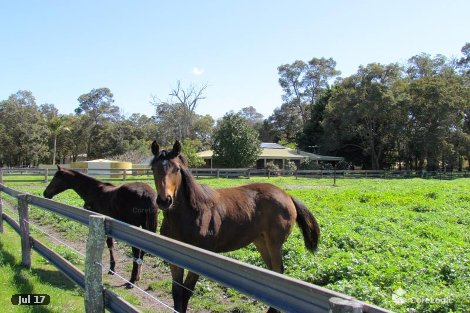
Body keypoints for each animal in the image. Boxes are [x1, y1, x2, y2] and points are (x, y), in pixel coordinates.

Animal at [151, 141, 320, 312]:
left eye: (177, 169)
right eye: (153, 168)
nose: (164, 200)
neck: (193, 212)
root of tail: (287, 196)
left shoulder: (198, 259)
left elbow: (186, 292)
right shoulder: (174, 258)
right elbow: (177, 292)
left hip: (275, 244)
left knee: (278, 272)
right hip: (261, 242)